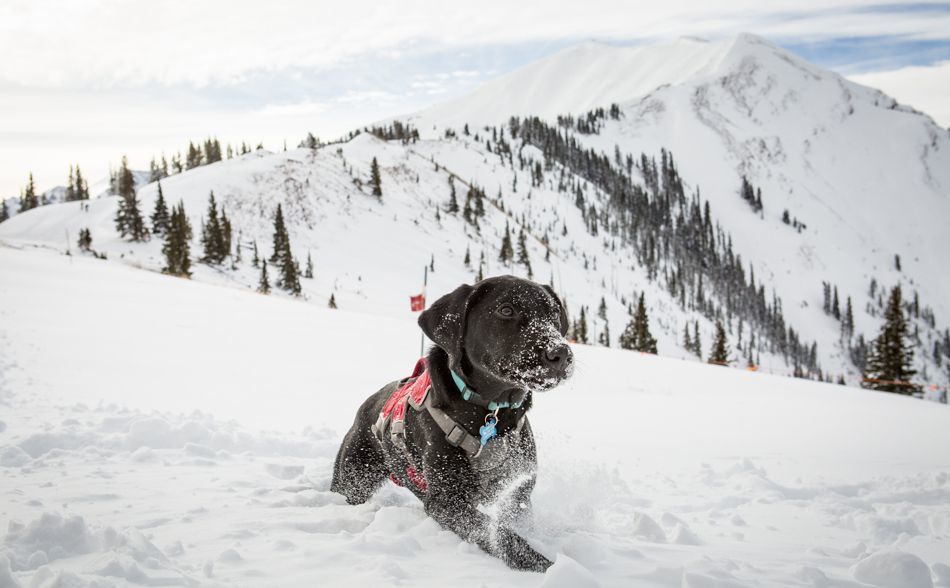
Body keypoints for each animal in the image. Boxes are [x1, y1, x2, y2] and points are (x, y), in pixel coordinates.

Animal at [332, 276, 572, 568]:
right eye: (506, 309)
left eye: (554, 314)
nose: (561, 353)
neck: (492, 413)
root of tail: (367, 404)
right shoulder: (447, 500)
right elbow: (503, 536)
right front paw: (546, 566)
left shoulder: (518, 494)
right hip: (353, 477)